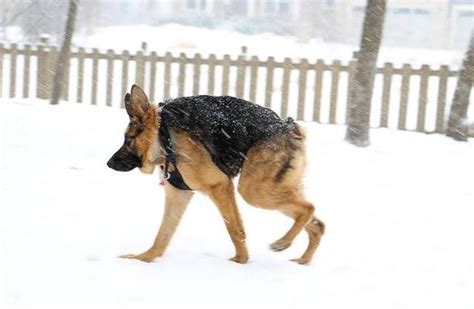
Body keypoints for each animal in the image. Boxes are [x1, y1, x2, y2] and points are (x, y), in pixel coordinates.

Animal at [107, 85, 324, 264]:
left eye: (128, 139)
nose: (109, 163)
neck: (163, 137)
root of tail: (288, 125)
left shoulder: (219, 186)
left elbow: (234, 228)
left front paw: (240, 260)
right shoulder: (179, 195)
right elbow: (163, 234)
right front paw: (144, 258)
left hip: (254, 191)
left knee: (308, 208)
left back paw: (283, 242)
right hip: (272, 189)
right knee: (317, 224)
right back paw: (302, 260)